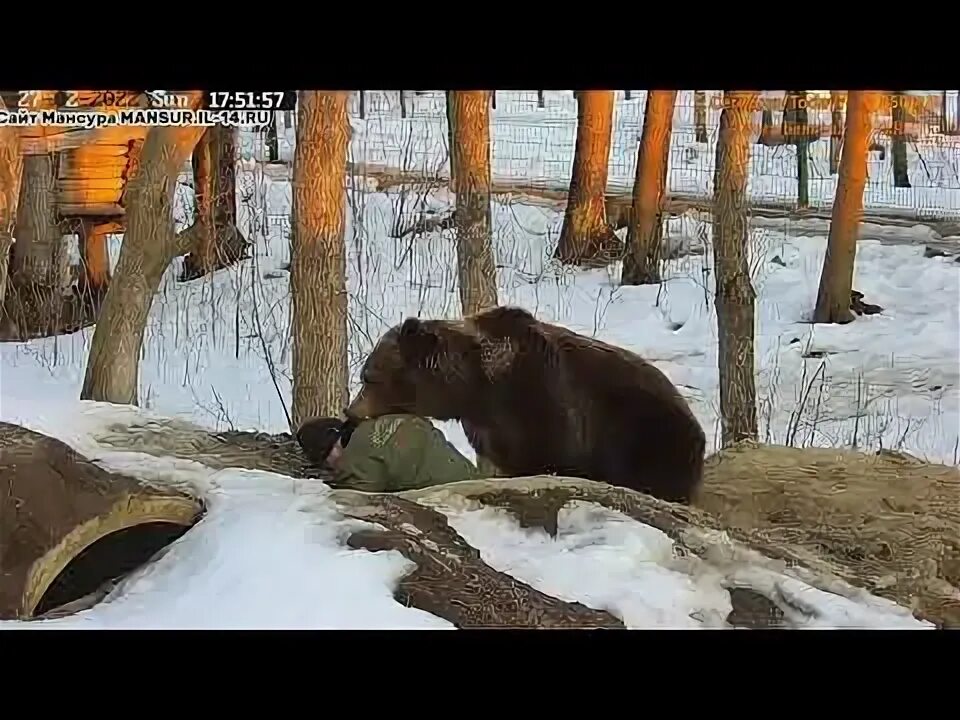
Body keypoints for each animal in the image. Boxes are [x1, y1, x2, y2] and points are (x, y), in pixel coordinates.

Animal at [344, 306, 704, 504]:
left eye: (368, 377)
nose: (351, 410)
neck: (476, 388)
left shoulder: (546, 406)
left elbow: (549, 458)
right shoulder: (492, 431)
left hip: (651, 435)